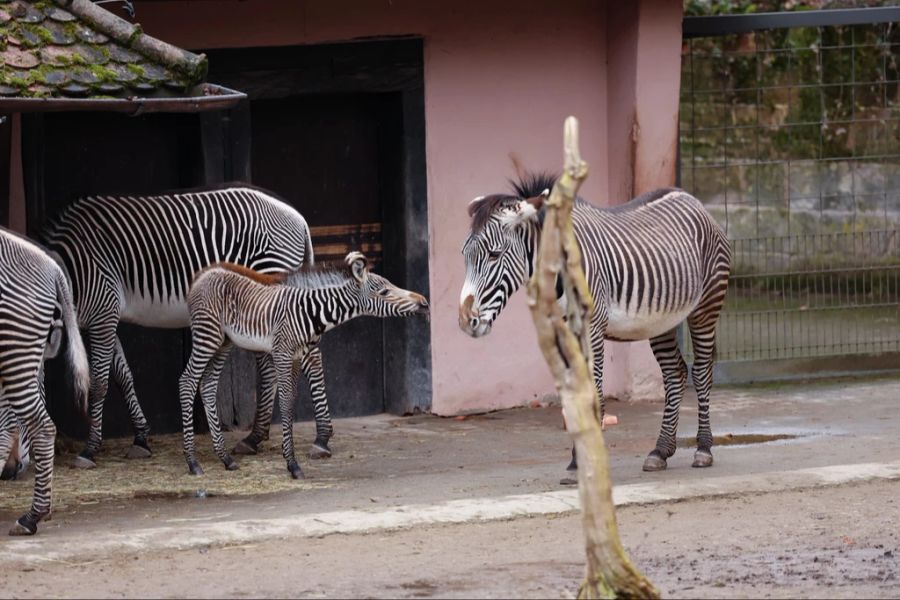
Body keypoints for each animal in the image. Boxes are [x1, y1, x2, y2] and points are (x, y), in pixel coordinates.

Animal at [44, 184, 336, 468]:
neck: (74, 268)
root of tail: (297, 217)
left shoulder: (104, 310)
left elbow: (100, 383)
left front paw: (89, 450)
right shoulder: (105, 317)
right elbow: (123, 376)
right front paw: (141, 438)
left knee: (311, 359)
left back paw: (321, 438)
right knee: (270, 367)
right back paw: (254, 438)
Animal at [180, 251, 428, 476]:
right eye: (384, 292)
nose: (424, 303)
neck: (309, 313)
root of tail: (202, 275)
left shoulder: (296, 357)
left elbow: (292, 400)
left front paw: (292, 457)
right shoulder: (281, 353)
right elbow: (285, 402)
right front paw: (292, 464)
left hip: (224, 341)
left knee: (208, 385)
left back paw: (225, 459)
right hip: (208, 335)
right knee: (187, 382)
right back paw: (193, 463)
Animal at [458, 172, 732, 474]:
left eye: (494, 254)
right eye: (464, 255)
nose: (465, 321)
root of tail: (691, 198)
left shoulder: (593, 328)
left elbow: (594, 394)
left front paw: (585, 462)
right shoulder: (561, 333)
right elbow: (573, 398)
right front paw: (577, 462)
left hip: (706, 306)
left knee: (702, 372)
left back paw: (703, 448)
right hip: (662, 319)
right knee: (675, 372)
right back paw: (660, 450)